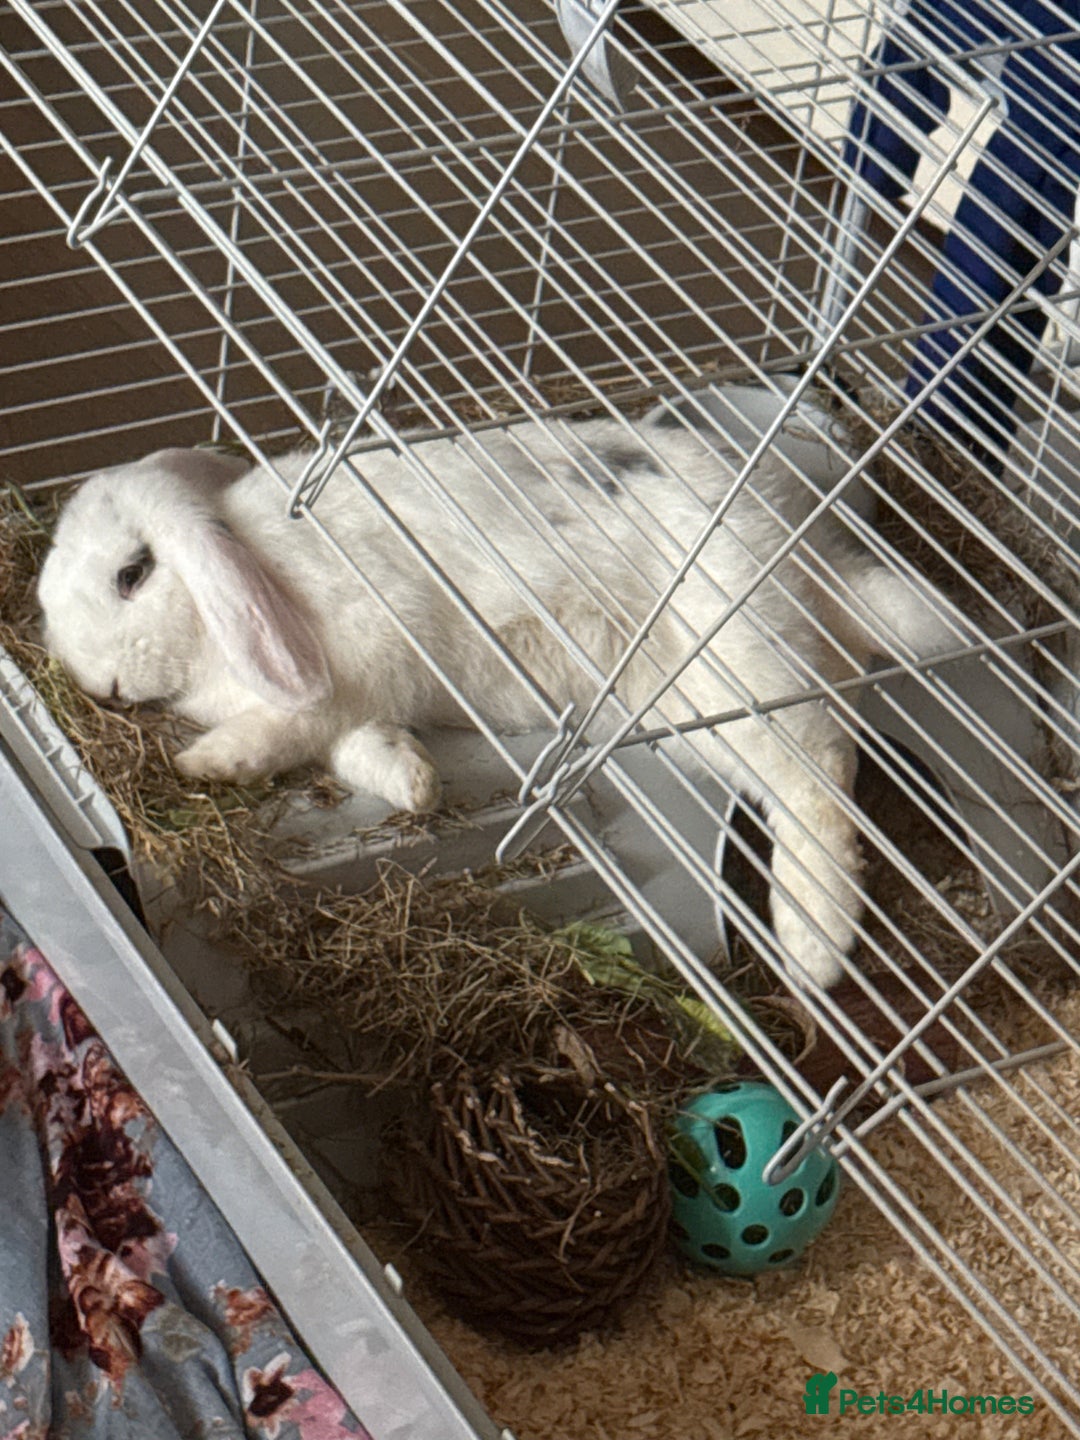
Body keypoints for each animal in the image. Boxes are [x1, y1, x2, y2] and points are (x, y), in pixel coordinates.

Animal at [36, 406, 964, 988]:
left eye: (133, 574)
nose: (100, 687)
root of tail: (805, 569)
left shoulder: (357, 662)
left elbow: (299, 725)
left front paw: (211, 762)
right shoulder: (356, 706)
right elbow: (363, 748)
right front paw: (416, 784)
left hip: (733, 669)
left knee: (821, 773)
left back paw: (812, 947)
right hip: (684, 713)